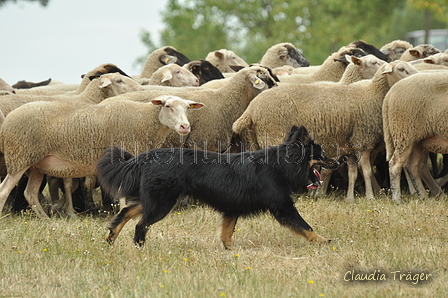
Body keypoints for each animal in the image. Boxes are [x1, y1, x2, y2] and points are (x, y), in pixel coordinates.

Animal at [0, 96, 205, 219]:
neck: (144, 120)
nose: (185, 127)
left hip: (36, 164)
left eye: (188, 108)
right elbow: (122, 191)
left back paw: (47, 221)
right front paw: (124, 212)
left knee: (30, 193)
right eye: (168, 106)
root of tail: (8, 119)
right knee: (5, 190)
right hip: (19, 157)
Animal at [96, 125, 338, 249]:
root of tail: (145, 158)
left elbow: (227, 233)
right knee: (140, 224)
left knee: (126, 211)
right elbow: (306, 226)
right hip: (162, 203)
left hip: (157, 200)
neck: (280, 164)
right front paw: (324, 241)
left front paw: (230, 251)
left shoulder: (232, 208)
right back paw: (139, 246)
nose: (338, 162)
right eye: (322, 155)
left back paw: (111, 238)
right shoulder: (282, 206)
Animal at [233, 60, 418, 203]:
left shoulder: (351, 145)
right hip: (273, 135)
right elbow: (365, 171)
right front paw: (370, 197)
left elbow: (353, 173)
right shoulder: (362, 141)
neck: (370, 94)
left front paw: (351, 199)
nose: (418, 75)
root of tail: (251, 109)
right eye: (401, 69)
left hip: (256, 140)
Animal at [382, 71, 448, 204]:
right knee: (395, 164)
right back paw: (397, 199)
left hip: (417, 140)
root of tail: (390, 94)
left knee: (412, 167)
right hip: (404, 133)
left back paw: (423, 196)